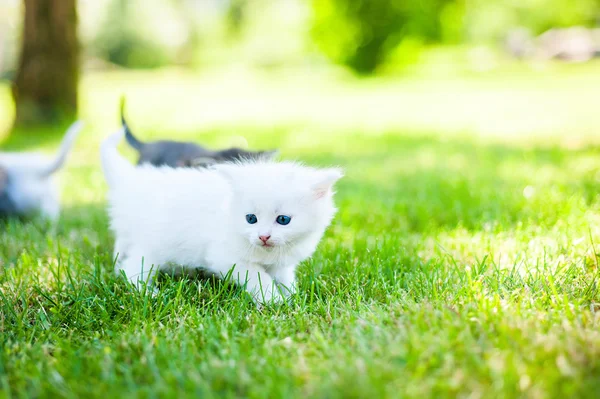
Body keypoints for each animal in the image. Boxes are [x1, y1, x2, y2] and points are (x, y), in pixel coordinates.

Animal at [103, 128, 342, 304]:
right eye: (250, 218)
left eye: (283, 220)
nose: (263, 236)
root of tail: (132, 179)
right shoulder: (226, 257)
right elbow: (258, 277)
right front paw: (273, 300)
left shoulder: (280, 263)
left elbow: (284, 278)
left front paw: (293, 297)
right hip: (152, 245)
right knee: (131, 268)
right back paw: (149, 293)